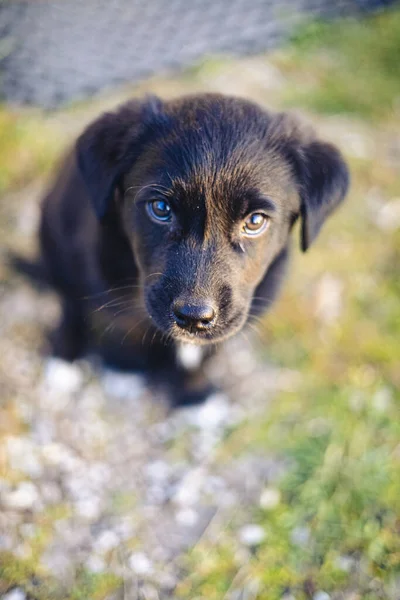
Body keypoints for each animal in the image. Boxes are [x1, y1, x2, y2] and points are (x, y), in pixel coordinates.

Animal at [39, 92, 348, 404]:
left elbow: (208, 350)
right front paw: (124, 367)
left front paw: (194, 393)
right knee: (70, 305)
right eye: (160, 208)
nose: (193, 318)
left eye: (255, 221)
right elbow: (120, 322)